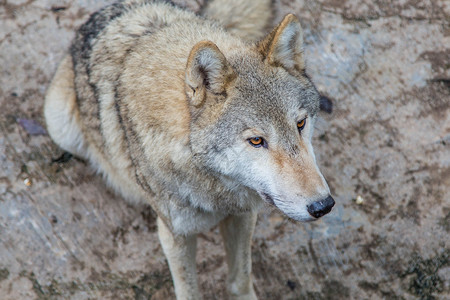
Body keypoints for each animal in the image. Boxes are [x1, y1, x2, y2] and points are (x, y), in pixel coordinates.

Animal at [44, 0, 334, 298]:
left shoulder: (242, 216)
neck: (215, 189)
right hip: (60, 125)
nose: (323, 206)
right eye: (256, 141)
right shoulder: (176, 235)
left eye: (300, 124)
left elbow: (240, 279)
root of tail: (100, 13)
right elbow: (188, 290)